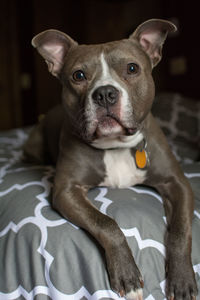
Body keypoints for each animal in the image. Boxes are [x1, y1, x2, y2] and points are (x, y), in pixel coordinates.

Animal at [24, 19, 198, 300]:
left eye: (132, 68)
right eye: (78, 75)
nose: (105, 93)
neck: (115, 145)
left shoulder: (178, 184)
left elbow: (181, 231)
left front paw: (182, 279)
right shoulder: (66, 191)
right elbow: (106, 223)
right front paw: (127, 274)